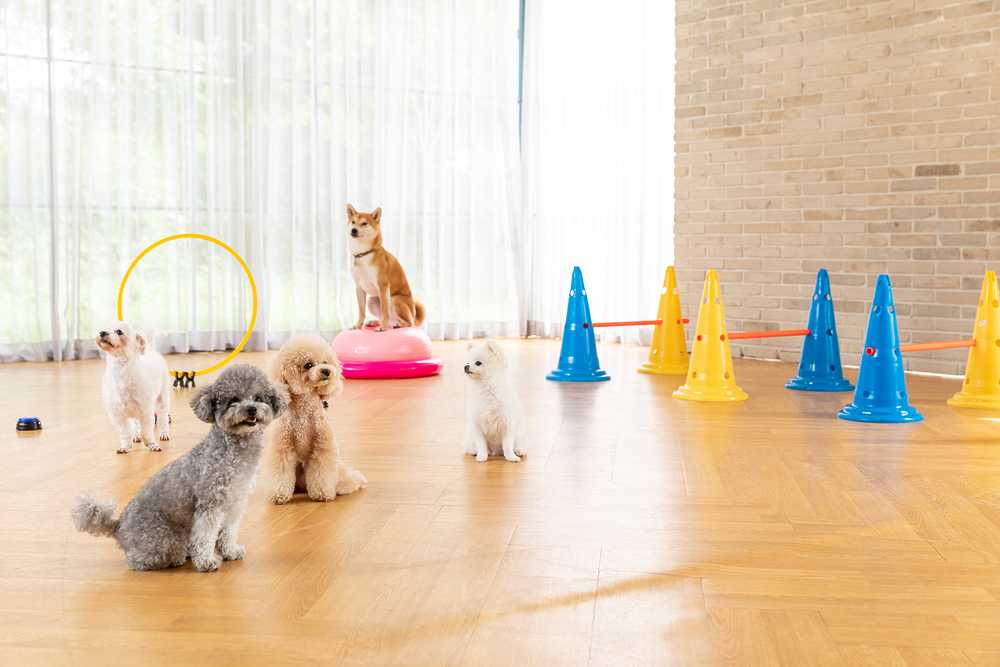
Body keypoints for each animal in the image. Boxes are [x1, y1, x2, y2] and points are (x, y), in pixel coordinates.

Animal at [96, 322, 171, 454]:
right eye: (104, 328)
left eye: (119, 331)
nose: (102, 333)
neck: (120, 370)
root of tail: (151, 351)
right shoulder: (117, 415)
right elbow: (125, 432)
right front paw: (125, 446)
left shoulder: (146, 412)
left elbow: (146, 432)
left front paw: (152, 445)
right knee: (135, 423)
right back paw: (136, 435)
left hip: (163, 397)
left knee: (162, 417)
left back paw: (163, 433)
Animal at [348, 202, 426, 330]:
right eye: (353, 222)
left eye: (364, 223)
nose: (353, 230)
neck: (363, 254)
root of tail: (414, 314)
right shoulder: (359, 287)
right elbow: (361, 311)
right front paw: (358, 325)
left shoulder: (383, 285)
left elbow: (384, 309)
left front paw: (382, 328)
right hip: (372, 300)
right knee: (386, 318)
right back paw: (375, 322)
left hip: (394, 300)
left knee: (409, 322)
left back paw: (398, 324)